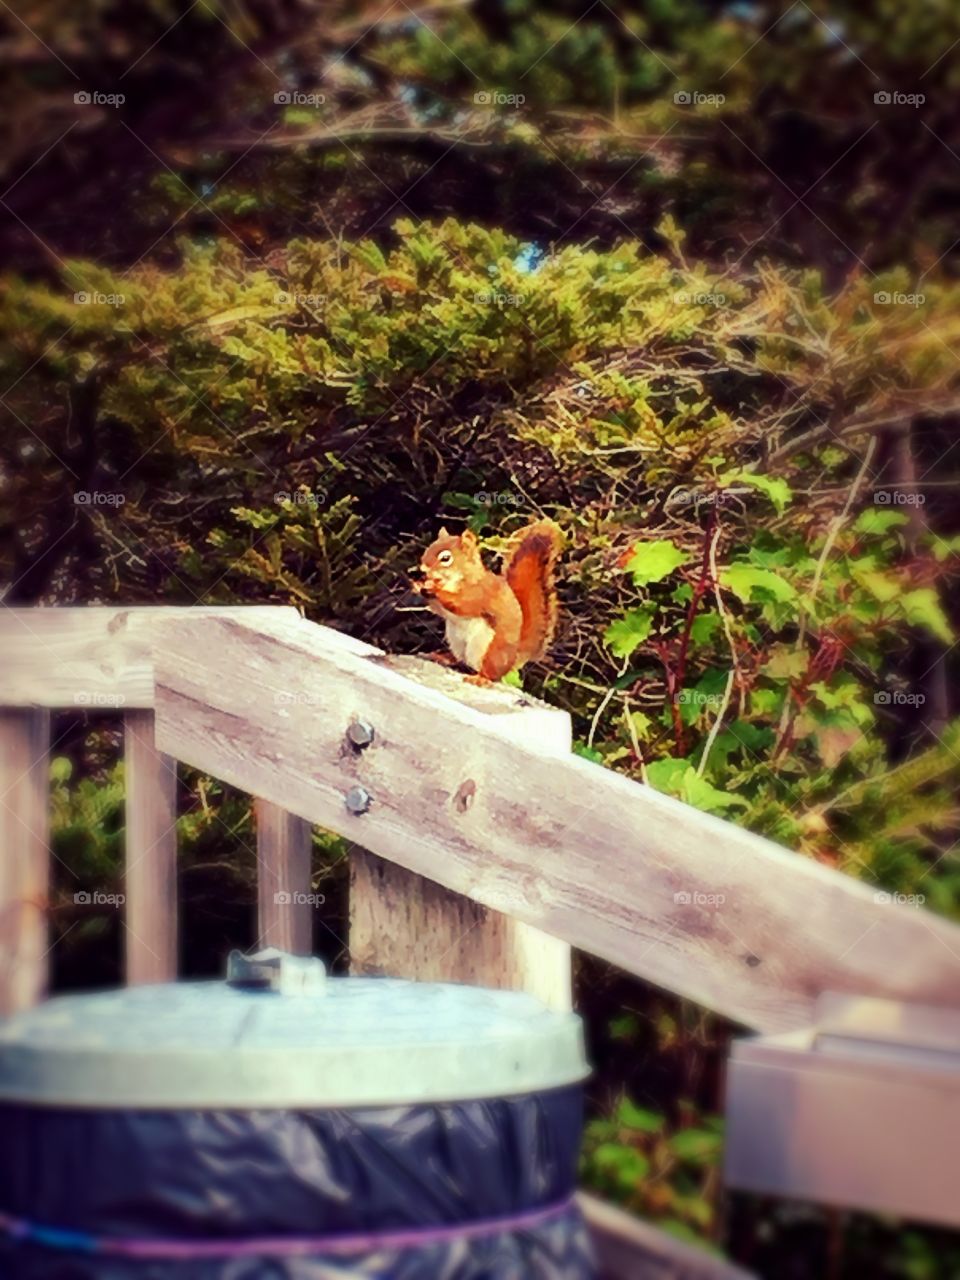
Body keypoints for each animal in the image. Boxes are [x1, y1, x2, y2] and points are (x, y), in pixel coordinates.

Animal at [413, 519, 562, 681]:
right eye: (430, 547)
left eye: (445, 558)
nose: (422, 568)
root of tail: (511, 662)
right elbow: (438, 609)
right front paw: (419, 585)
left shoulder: (479, 595)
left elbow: (461, 604)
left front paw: (434, 588)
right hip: (456, 642)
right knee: (459, 659)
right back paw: (442, 657)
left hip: (490, 651)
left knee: (489, 673)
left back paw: (479, 679)